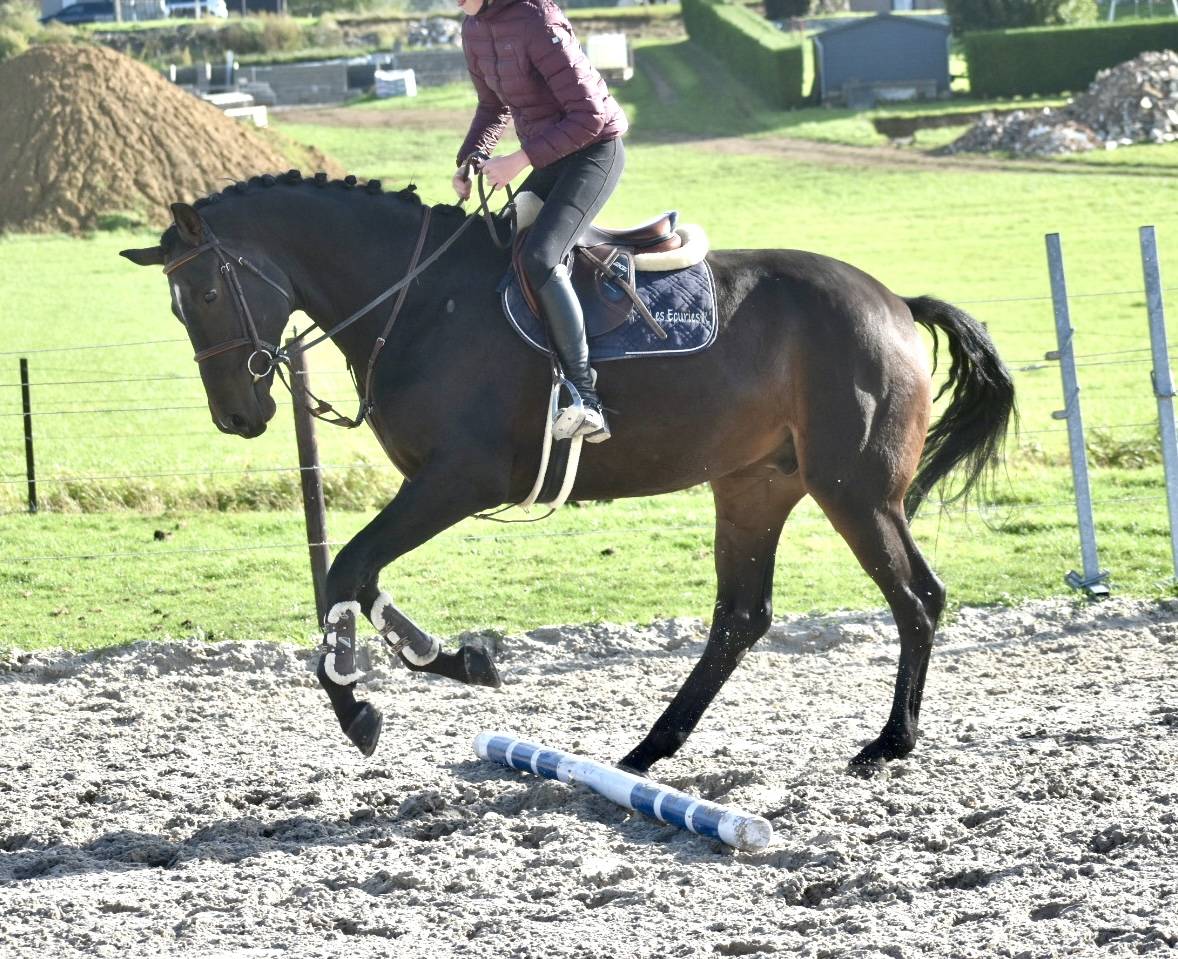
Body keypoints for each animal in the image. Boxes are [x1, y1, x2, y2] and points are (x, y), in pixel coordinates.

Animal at [120, 171, 1014, 777]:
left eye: (207, 291)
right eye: (175, 305)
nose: (237, 416)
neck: (420, 301)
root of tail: (892, 302)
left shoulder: (461, 479)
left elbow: (346, 569)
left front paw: (357, 707)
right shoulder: (436, 487)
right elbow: (361, 579)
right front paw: (461, 660)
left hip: (855, 491)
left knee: (916, 598)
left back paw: (889, 741)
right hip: (753, 487)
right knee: (742, 617)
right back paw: (648, 748)